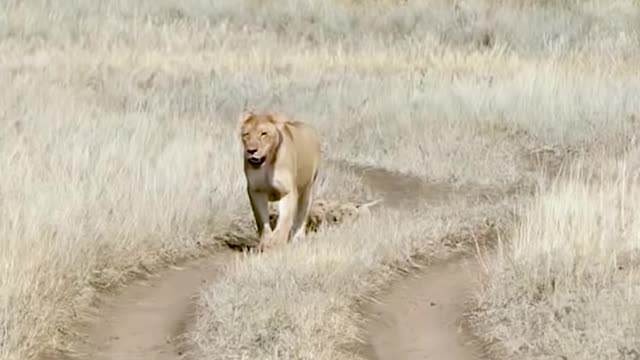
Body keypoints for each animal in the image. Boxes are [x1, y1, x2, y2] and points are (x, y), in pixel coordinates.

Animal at [238, 111, 322, 252]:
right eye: (246, 134)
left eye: (263, 134)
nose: (251, 150)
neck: (267, 163)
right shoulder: (256, 191)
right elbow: (262, 221)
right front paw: (266, 242)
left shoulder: (288, 191)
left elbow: (285, 220)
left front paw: (277, 242)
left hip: (308, 190)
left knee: (302, 215)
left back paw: (298, 238)